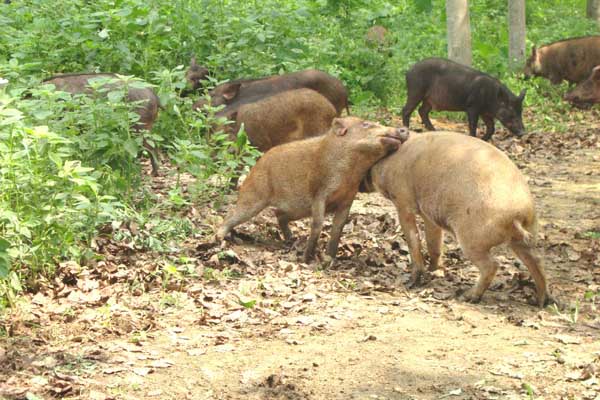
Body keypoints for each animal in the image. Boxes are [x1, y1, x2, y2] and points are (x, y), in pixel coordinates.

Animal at [214, 117, 408, 264]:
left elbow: (338, 228)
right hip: (253, 195)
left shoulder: (347, 199)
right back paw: (217, 239)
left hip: (297, 209)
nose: (404, 129)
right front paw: (307, 259)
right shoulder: (319, 194)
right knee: (231, 214)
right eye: (366, 124)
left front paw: (330, 259)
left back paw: (291, 239)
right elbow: (318, 223)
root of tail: (256, 165)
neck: (348, 173)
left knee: (278, 214)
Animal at [368, 131, 556, 306]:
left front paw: (413, 280)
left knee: (492, 265)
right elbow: (433, 243)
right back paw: (540, 301)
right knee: (537, 260)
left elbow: (413, 239)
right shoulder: (429, 215)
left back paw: (468, 296)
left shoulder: (403, 200)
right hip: (527, 235)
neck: (391, 161)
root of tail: (518, 214)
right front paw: (434, 270)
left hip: (471, 239)